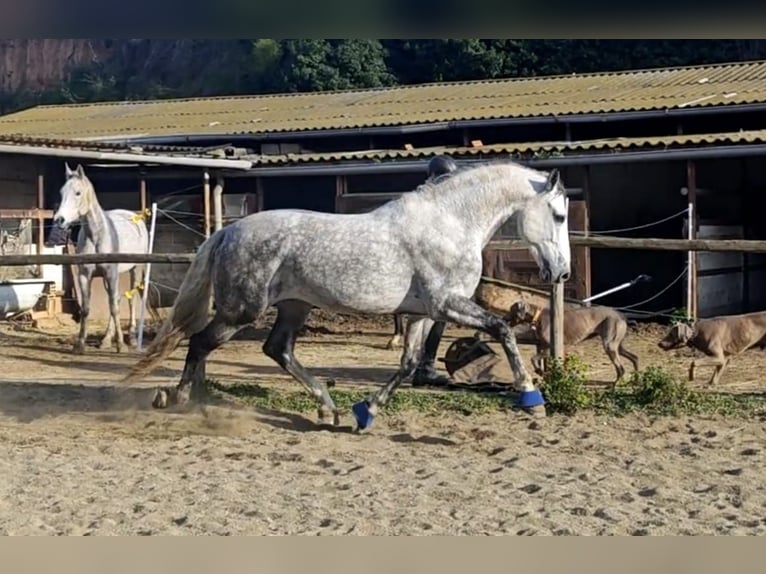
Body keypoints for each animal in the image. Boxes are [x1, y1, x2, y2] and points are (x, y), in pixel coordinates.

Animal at [52, 164, 150, 356]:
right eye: (61, 192)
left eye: (78, 192)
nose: (59, 220)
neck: (96, 235)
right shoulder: (85, 275)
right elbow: (86, 308)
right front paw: (80, 344)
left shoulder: (111, 273)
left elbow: (114, 307)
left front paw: (121, 345)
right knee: (116, 299)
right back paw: (105, 339)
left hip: (136, 269)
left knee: (130, 300)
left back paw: (132, 337)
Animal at [124, 161, 568, 432]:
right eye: (559, 214)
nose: (560, 272)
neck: (449, 224)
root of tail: (226, 232)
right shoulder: (448, 304)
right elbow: (502, 330)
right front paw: (531, 397)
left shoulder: (424, 312)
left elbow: (408, 363)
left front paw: (365, 413)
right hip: (242, 311)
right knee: (201, 342)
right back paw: (182, 398)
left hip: (293, 306)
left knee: (276, 349)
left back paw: (328, 408)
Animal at [510, 302, 640, 388]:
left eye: (511, 311)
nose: (505, 319)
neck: (538, 316)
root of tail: (621, 315)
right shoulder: (553, 348)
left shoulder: (551, 348)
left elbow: (533, 358)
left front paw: (539, 371)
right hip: (617, 346)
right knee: (634, 357)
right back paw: (636, 380)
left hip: (609, 345)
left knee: (621, 368)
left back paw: (616, 384)